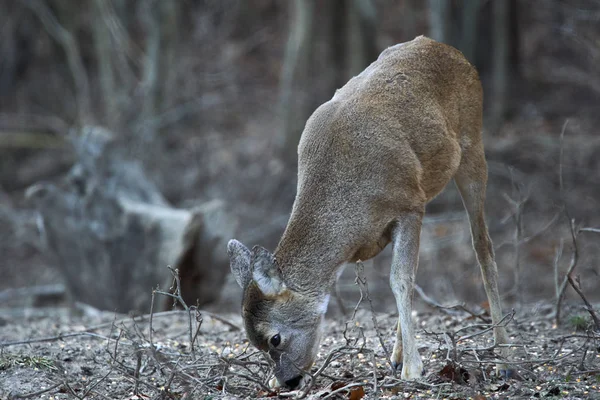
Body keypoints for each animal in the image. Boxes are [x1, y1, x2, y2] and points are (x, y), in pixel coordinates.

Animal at [227, 36, 508, 390]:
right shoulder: (412, 205)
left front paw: (413, 370)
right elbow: (406, 276)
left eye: (274, 338)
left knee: (482, 245)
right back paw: (399, 354)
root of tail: (445, 48)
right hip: (428, 185)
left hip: (473, 142)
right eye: (256, 344)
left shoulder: (407, 204)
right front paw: (403, 360)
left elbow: (399, 279)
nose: (288, 381)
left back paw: (504, 358)